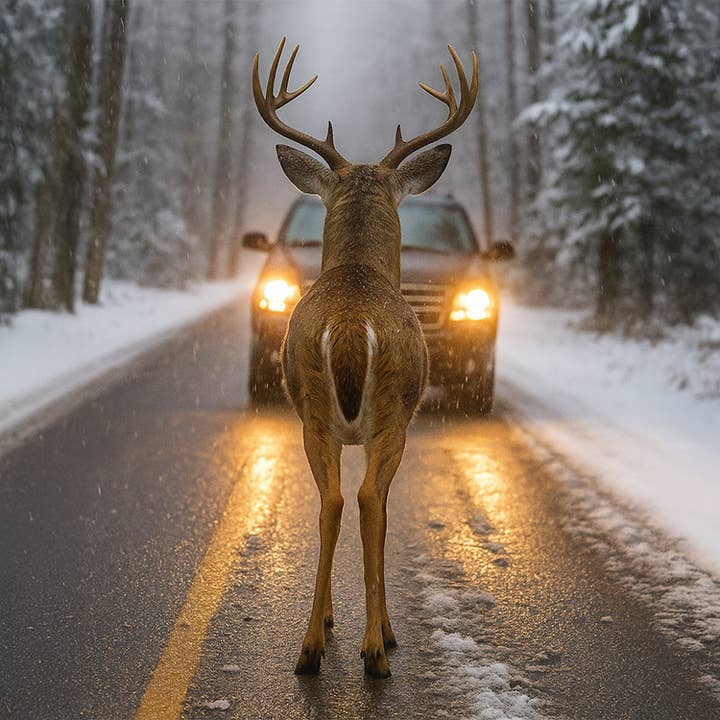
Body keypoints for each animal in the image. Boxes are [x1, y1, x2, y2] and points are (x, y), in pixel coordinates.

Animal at [252, 38, 478, 678]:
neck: (357, 268)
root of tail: (352, 322)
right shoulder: (397, 423)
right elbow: (382, 512)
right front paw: (383, 631)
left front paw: (334, 621)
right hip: (392, 414)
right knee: (368, 499)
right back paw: (375, 648)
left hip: (312, 413)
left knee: (329, 499)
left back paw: (311, 644)